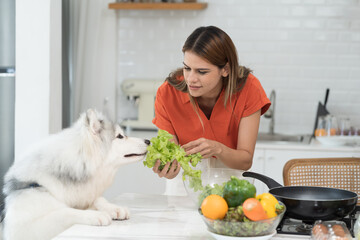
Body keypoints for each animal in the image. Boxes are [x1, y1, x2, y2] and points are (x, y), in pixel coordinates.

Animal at [0, 109, 149, 240]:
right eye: (120, 136)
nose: (148, 141)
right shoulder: (22, 228)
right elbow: (65, 212)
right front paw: (94, 215)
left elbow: (98, 199)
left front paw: (114, 208)